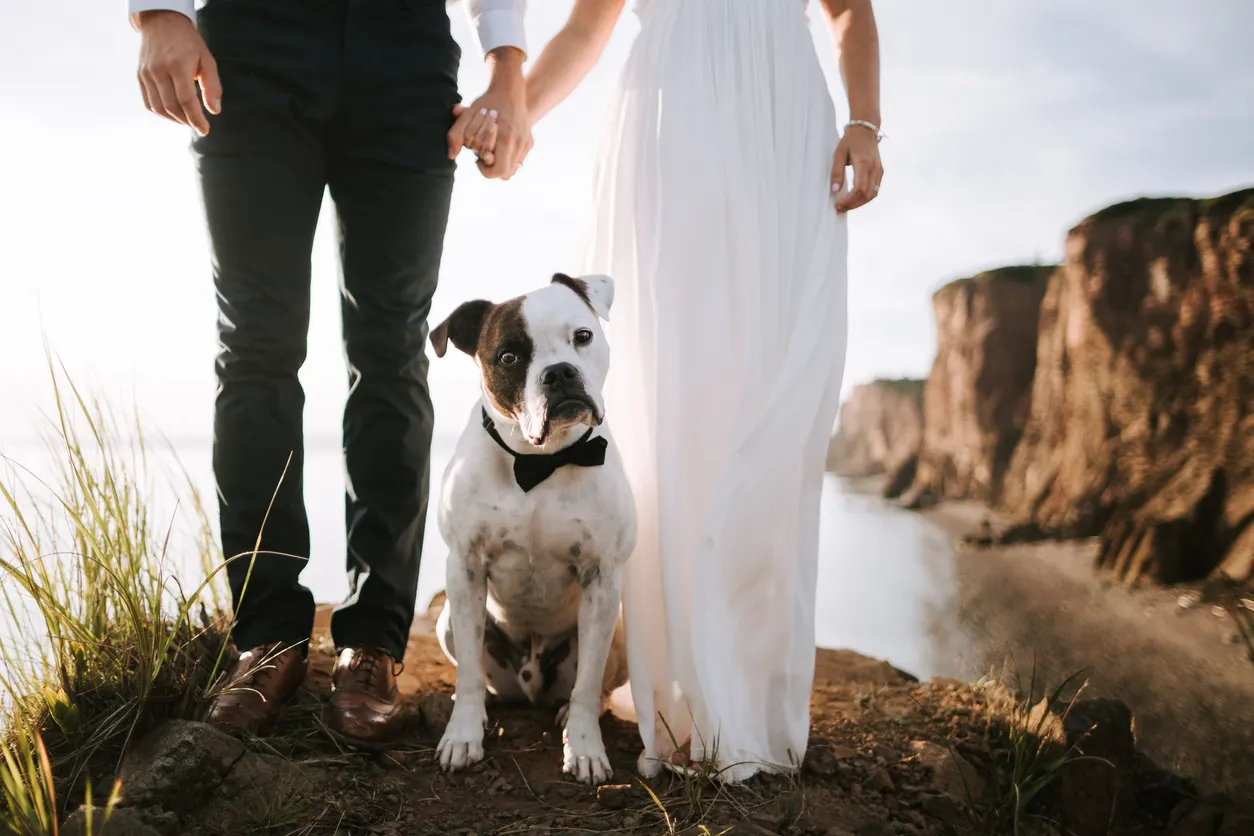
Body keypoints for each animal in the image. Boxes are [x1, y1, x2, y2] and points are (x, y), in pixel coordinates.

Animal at [428, 273, 637, 787]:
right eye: (508, 356)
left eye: (582, 336)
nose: (560, 373)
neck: (540, 462)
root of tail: (531, 686)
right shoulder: (464, 568)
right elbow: (467, 675)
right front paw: (462, 736)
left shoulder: (602, 576)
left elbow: (587, 686)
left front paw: (583, 747)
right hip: (447, 620)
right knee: (480, 676)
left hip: (619, 630)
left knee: (589, 686)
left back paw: (566, 712)